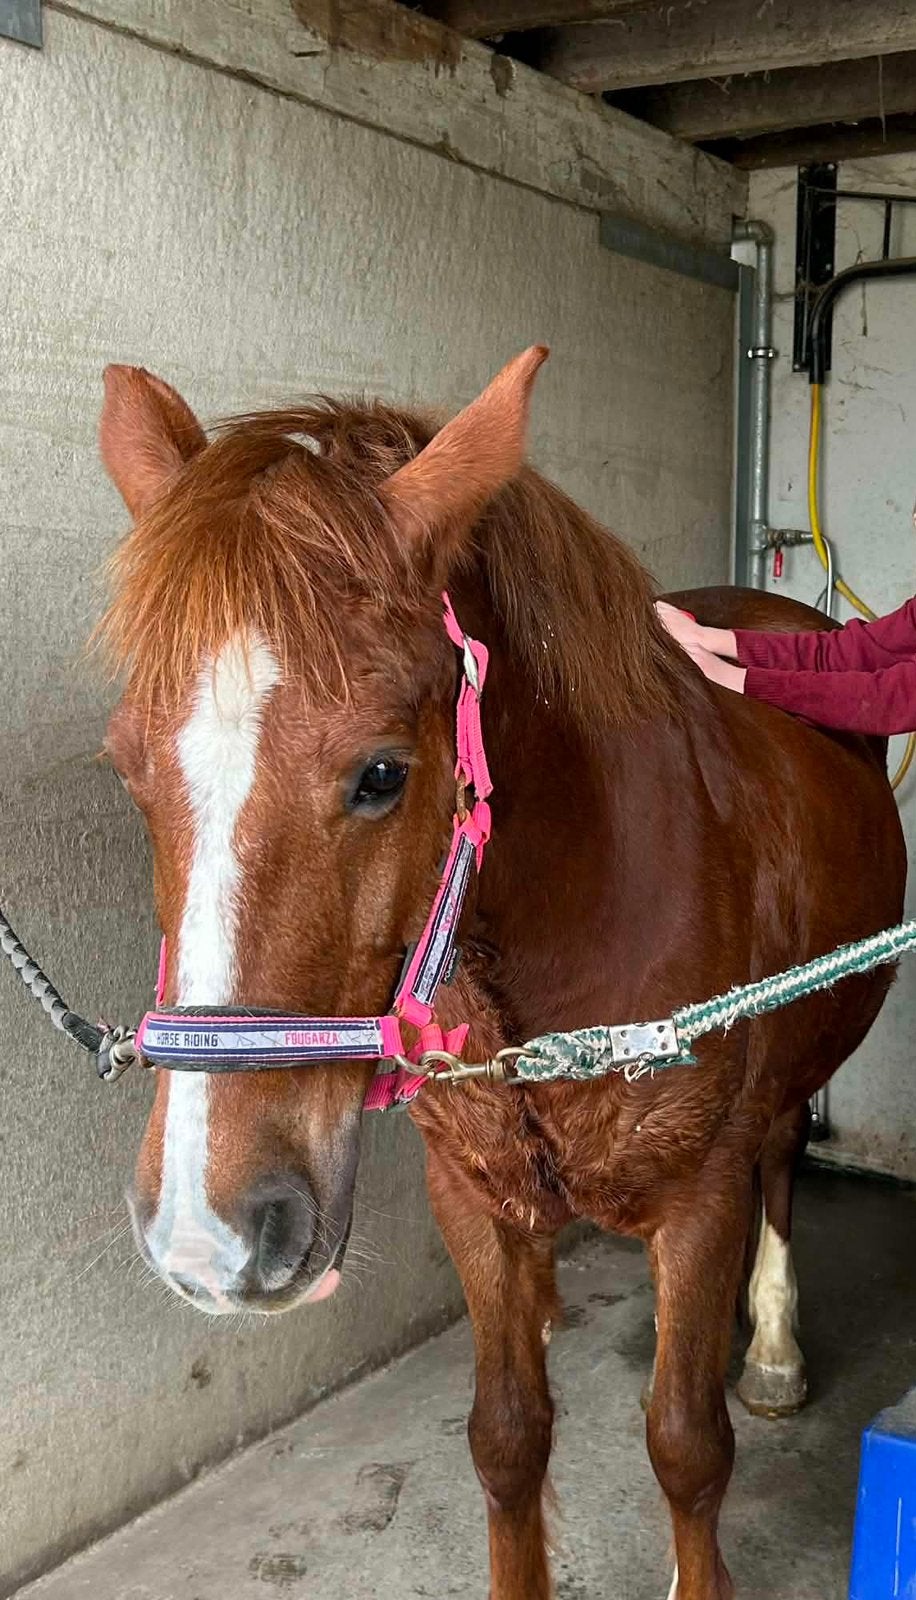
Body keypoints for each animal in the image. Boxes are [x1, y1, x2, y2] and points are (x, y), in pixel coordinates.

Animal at [97, 349, 906, 1600]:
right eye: (127, 769)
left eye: (383, 773)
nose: (207, 1234)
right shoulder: (471, 1199)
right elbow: (507, 1436)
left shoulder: (700, 1196)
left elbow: (686, 1443)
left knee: (779, 1157)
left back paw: (768, 1345)